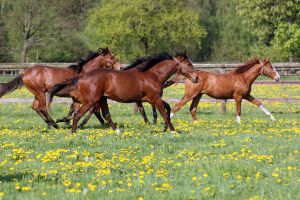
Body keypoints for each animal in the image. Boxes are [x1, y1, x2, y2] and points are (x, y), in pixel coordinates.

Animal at [47, 51, 197, 133]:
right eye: (189, 64)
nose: (196, 78)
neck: (153, 75)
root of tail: (82, 76)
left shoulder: (152, 99)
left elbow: (167, 108)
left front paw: (165, 127)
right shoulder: (155, 99)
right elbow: (164, 113)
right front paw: (173, 131)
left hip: (101, 99)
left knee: (105, 114)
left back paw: (117, 131)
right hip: (92, 100)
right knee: (79, 113)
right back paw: (73, 131)